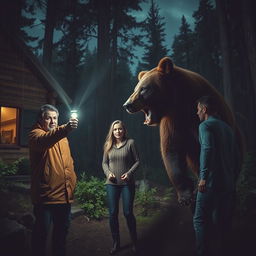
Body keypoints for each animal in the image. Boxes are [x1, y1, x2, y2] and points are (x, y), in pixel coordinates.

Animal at [123, 57, 243, 205]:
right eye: (135, 88)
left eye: (144, 89)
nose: (127, 105)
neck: (181, 100)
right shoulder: (174, 119)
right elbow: (172, 150)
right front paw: (185, 194)